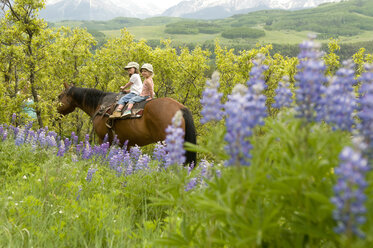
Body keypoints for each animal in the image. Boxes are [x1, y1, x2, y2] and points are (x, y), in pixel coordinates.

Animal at [56, 82, 196, 166]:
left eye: (60, 96)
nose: (56, 112)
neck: (101, 104)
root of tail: (181, 108)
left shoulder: (103, 139)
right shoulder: (127, 143)